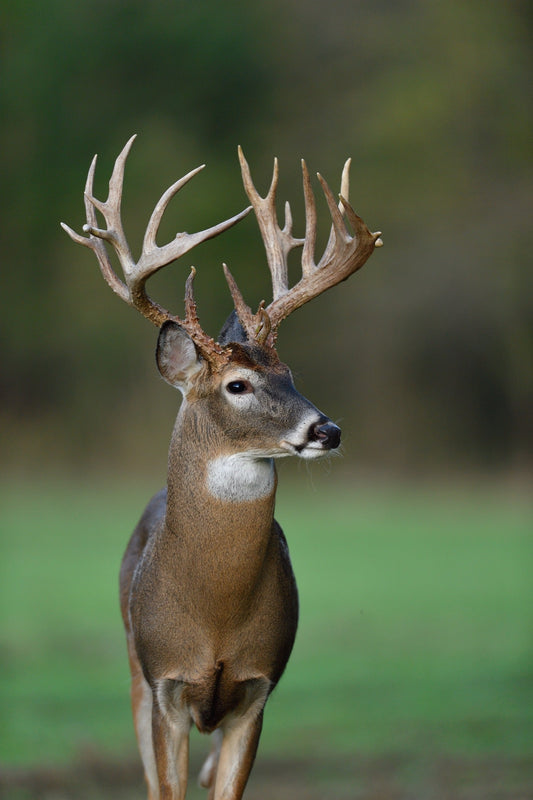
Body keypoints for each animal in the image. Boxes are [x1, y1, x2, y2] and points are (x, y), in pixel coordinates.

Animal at [61, 135, 382, 800]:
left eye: (291, 375)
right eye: (237, 384)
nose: (327, 430)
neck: (217, 617)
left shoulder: (257, 692)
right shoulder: (165, 688)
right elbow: (166, 787)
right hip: (133, 671)